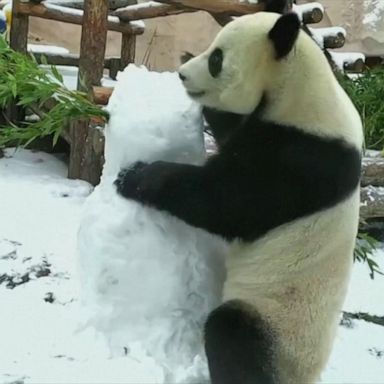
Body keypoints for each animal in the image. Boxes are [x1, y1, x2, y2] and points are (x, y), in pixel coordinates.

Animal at [114, 3, 364, 384]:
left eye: (217, 58)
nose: (183, 75)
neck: (301, 85)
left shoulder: (302, 156)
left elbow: (225, 200)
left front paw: (134, 176)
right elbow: (229, 131)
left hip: (279, 326)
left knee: (232, 332)